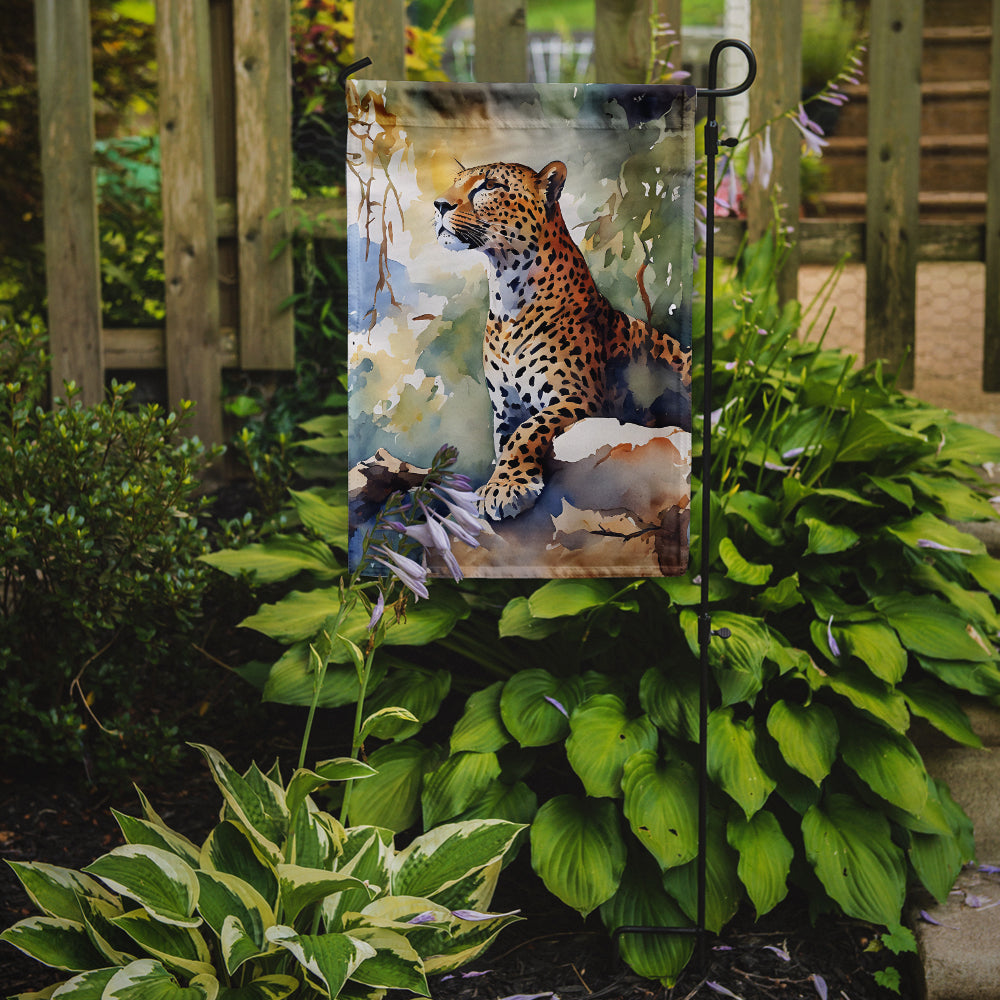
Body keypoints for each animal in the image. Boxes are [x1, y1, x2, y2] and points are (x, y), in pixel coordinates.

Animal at [433, 159, 691, 521]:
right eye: (455, 182)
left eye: (489, 186)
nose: (439, 205)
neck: (506, 294)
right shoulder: (505, 409)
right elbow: (506, 442)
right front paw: (500, 481)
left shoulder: (579, 398)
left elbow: (528, 431)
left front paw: (506, 488)